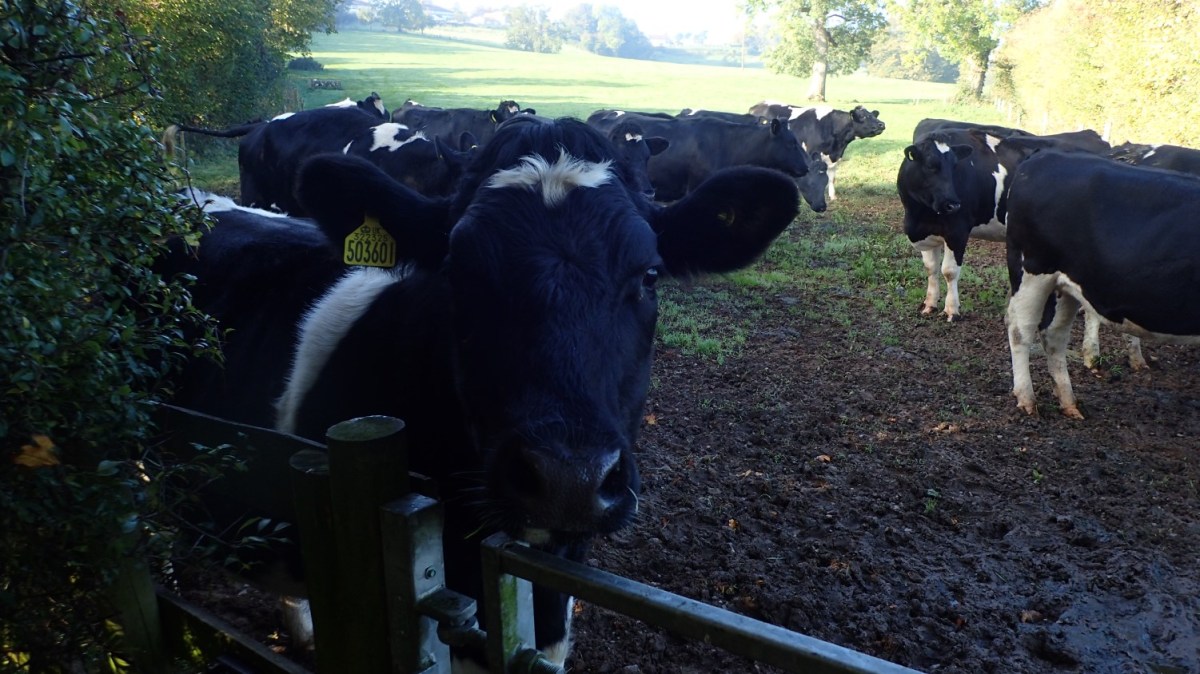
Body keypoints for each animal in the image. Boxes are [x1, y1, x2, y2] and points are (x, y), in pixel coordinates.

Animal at [748, 101, 886, 200]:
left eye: (873, 115)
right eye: (863, 116)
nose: (882, 124)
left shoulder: (834, 158)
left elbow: (831, 178)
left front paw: (833, 196)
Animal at [1004, 150, 1200, 418]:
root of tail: (1046, 155)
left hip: (1067, 286)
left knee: (1054, 335)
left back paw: (1069, 403)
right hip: (1033, 272)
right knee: (1020, 330)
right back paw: (1027, 399)